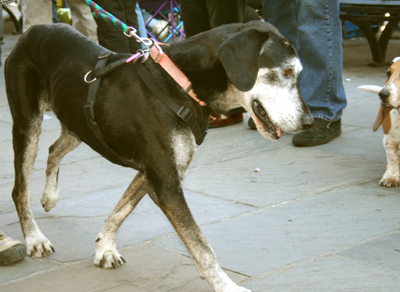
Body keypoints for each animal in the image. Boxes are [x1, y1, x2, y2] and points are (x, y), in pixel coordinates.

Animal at [5, 22, 312, 292]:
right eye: (286, 71)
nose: (309, 122)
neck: (182, 83)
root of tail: (32, 30)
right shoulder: (165, 182)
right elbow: (201, 245)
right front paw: (227, 286)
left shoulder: (157, 171)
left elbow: (121, 209)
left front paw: (105, 247)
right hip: (28, 125)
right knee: (20, 188)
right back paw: (33, 237)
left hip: (77, 124)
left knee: (54, 149)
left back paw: (49, 196)